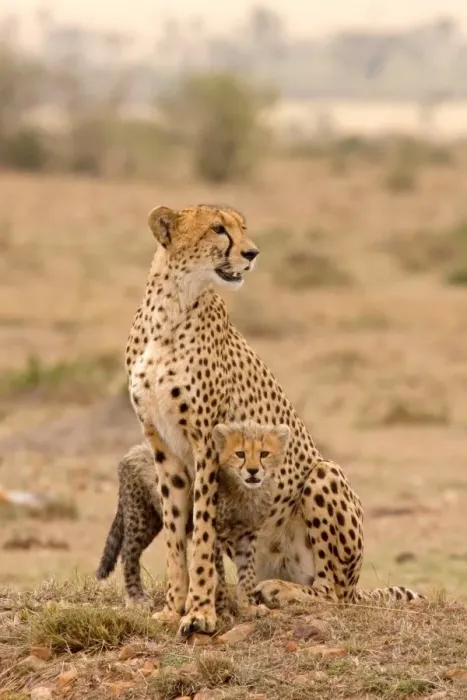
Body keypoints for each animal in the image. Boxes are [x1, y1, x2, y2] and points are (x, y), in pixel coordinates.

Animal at [96, 421, 290, 615]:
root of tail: (134, 450)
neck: (245, 491)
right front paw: (222, 609)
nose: (252, 471)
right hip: (141, 516)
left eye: (264, 454)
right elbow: (217, 572)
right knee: (128, 552)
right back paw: (136, 598)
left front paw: (247, 606)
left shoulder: (247, 533)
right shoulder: (215, 534)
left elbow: (247, 572)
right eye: (240, 454)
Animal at [125, 203, 424, 637]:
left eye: (242, 227)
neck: (172, 306)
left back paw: (281, 591)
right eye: (218, 229)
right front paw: (172, 608)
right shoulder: (164, 448)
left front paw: (199, 613)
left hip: (323, 474)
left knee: (334, 593)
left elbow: (201, 534)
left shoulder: (206, 445)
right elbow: (176, 533)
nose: (252, 253)